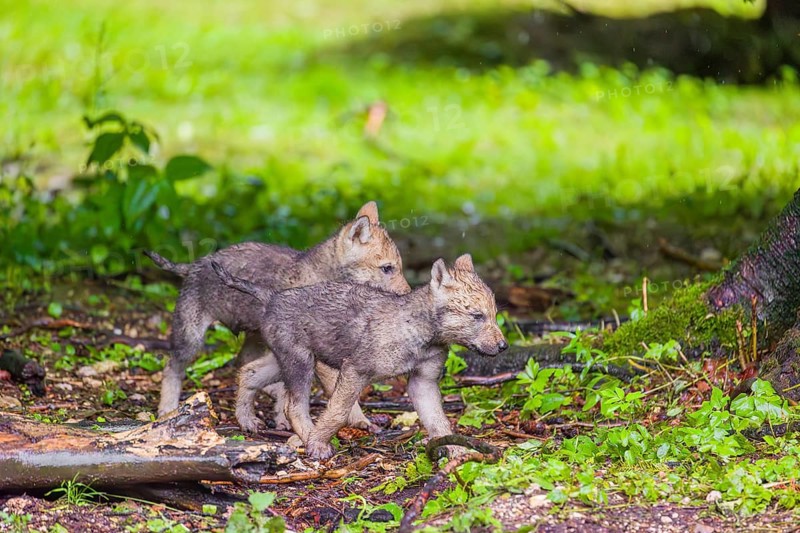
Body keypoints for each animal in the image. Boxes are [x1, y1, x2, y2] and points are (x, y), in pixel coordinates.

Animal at [146, 202, 411, 432]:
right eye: (387, 268)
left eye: (399, 267)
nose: (408, 295)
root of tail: (193, 264)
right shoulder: (319, 358)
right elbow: (340, 397)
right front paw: (360, 421)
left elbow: (292, 394)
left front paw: (283, 420)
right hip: (191, 339)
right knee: (171, 368)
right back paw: (167, 410)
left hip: (255, 337)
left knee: (244, 364)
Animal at [213, 254, 507, 459]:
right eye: (477, 316)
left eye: (494, 314)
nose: (504, 346)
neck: (421, 334)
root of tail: (272, 297)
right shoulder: (355, 369)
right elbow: (338, 411)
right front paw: (318, 443)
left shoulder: (422, 381)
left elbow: (439, 422)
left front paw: (459, 452)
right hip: (300, 362)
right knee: (293, 406)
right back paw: (307, 439)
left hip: (286, 358)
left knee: (249, 372)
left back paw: (247, 421)